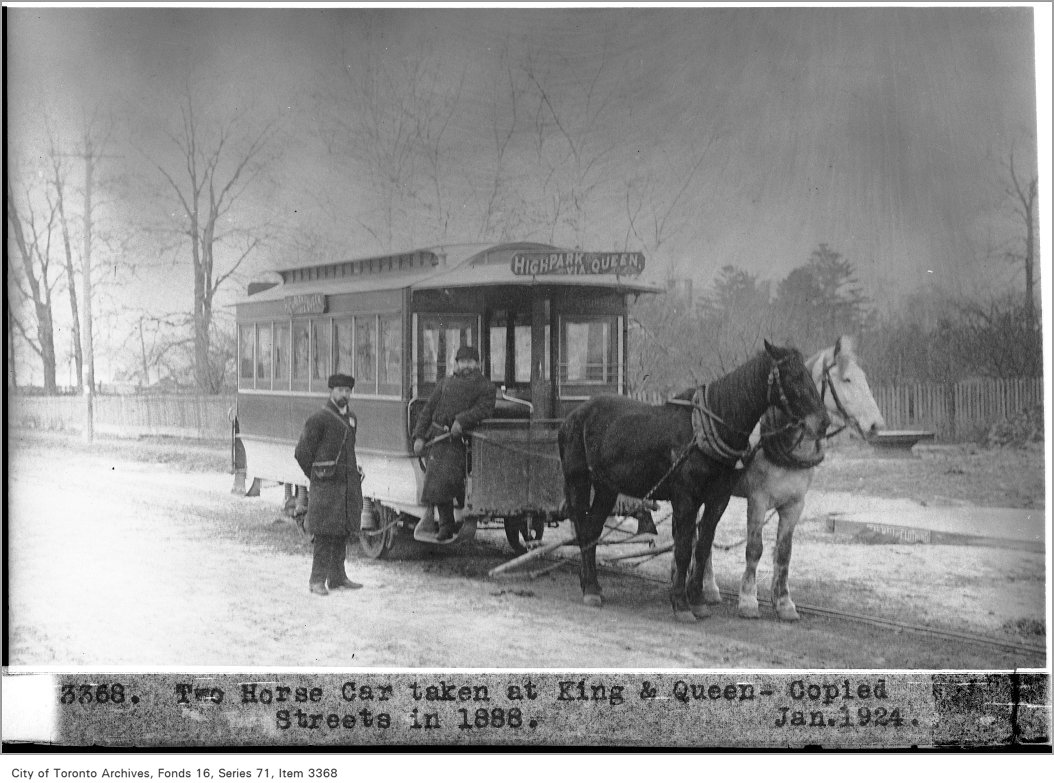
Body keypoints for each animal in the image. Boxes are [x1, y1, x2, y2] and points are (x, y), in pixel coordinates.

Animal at [560, 343, 830, 623]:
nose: (823, 422)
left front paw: (698, 600)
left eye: (810, 375)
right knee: (585, 529)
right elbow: (683, 549)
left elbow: (702, 547)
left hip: (607, 488)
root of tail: (575, 415)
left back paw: (592, 585)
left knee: (593, 529)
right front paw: (681, 603)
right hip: (578, 482)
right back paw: (591, 588)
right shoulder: (688, 499)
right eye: (794, 376)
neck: (705, 432)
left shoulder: (718, 499)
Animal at [704, 337, 885, 623]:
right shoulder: (758, 500)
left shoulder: (794, 505)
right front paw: (748, 600)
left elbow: (784, 553)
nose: (876, 425)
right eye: (846, 379)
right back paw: (708, 586)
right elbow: (754, 549)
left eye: (863, 377)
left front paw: (784, 602)